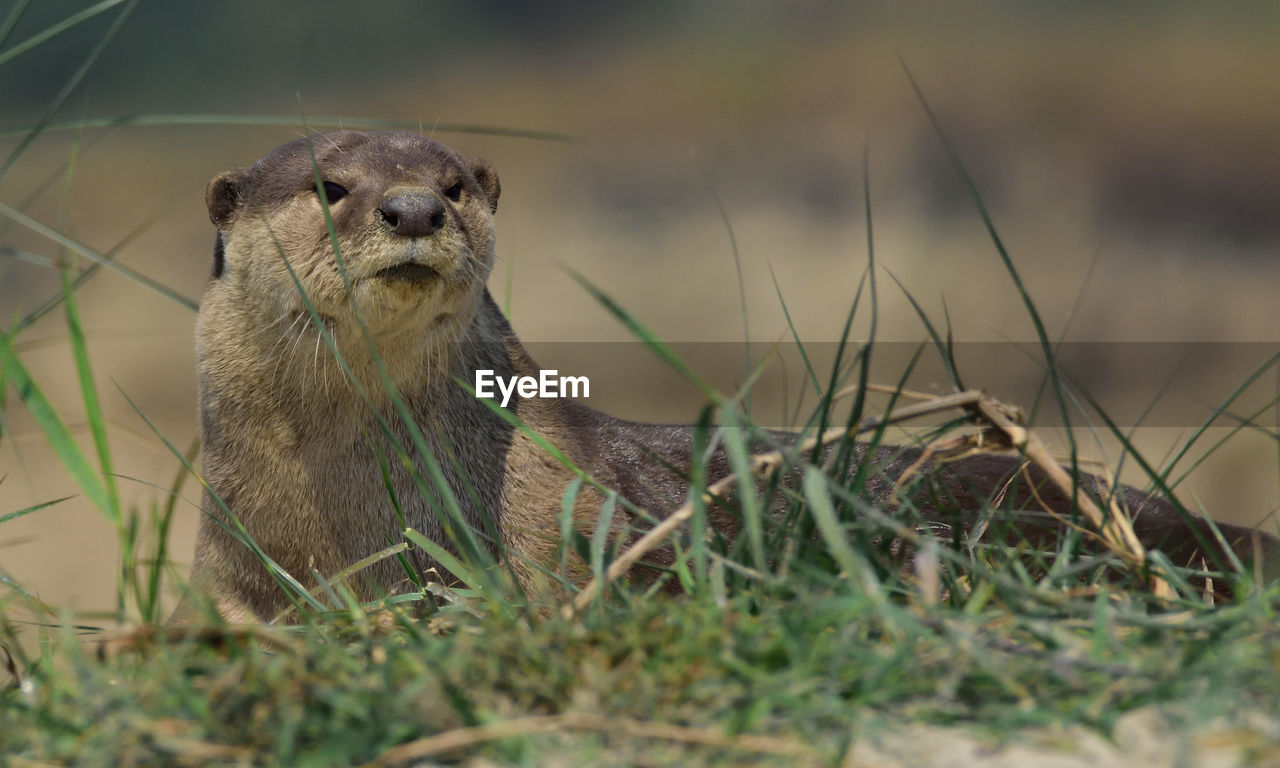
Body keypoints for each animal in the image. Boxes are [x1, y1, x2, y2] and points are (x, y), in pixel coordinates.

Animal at [186, 130, 1269, 624]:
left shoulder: (564, 527)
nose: (413, 208)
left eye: (453, 185)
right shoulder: (232, 576)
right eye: (330, 187)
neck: (349, 524)